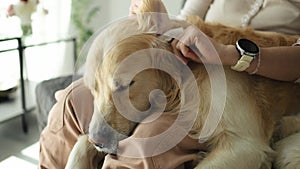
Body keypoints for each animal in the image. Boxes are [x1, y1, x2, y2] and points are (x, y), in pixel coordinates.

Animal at [65, 0, 300, 169]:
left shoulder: (244, 143)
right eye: (93, 89)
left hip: (288, 152)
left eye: (125, 85)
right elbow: (81, 142)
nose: (98, 141)